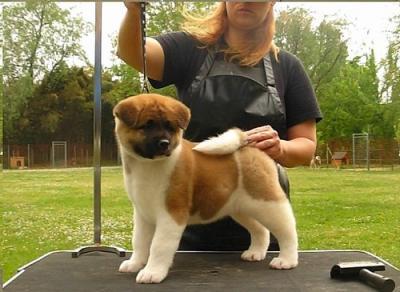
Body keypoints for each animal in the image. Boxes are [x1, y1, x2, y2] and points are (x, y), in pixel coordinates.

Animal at [112, 94, 296, 284]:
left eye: (170, 127)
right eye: (147, 126)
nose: (164, 143)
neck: (148, 165)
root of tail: (250, 146)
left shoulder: (171, 214)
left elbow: (159, 245)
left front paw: (152, 272)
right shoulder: (142, 214)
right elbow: (139, 241)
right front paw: (135, 264)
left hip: (267, 203)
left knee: (287, 230)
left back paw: (286, 260)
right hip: (241, 208)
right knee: (260, 229)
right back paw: (255, 253)